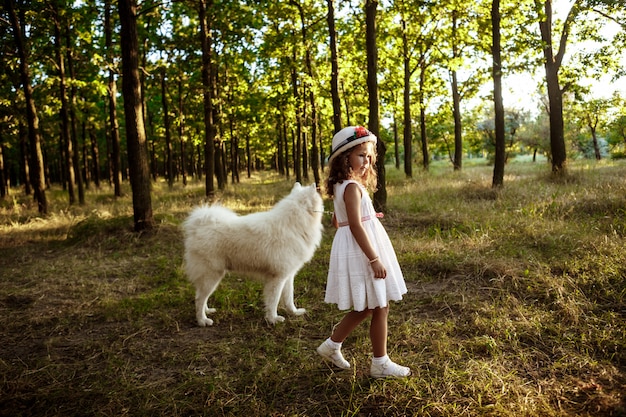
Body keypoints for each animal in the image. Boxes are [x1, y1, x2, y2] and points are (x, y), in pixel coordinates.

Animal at [182, 182, 322, 324]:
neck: (294, 224)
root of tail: (198, 226)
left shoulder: (287, 275)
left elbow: (289, 298)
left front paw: (294, 312)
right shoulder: (277, 277)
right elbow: (274, 300)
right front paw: (273, 319)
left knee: (200, 295)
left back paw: (207, 311)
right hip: (211, 274)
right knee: (199, 299)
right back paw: (202, 320)